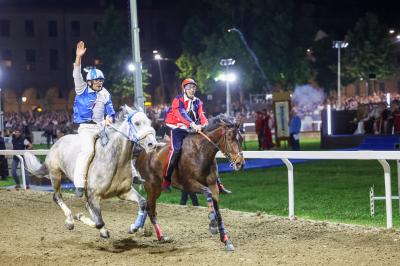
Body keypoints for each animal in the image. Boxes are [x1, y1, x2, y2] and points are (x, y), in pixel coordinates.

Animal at [24, 105, 157, 238]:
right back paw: (70, 221)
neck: (115, 162)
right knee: (57, 197)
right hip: (55, 175)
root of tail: (56, 144)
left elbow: (143, 203)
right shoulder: (94, 196)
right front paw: (80, 217)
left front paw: (134, 227)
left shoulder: (124, 192)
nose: (152, 144)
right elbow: (99, 222)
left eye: (150, 122)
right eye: (137, 123)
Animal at [130, 115, 245, 251]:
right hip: (152, 186)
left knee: (148, 206)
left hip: (156, 188)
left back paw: (139, 228)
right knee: (150, 209)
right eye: (229, 138)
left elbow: (217, 210)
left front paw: (226, 240)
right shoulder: (188, 184)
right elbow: (207, 193)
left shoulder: (213, 185)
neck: (201, 153)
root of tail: (143, 152)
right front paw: (212, 224)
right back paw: (158, 235)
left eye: (241, 139)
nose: (240, 163)